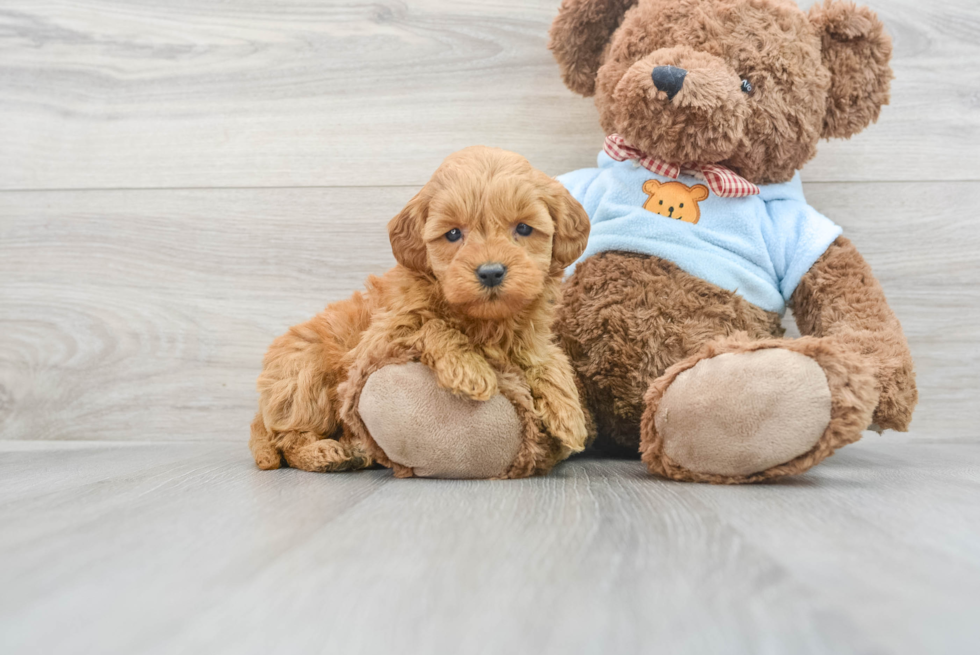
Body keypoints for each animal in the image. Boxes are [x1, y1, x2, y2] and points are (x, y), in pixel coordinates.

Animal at [249, 146, 592, 480]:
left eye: (523, 228)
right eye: (452, 234)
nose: (491, 272)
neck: (484, 320)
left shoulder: (529, 337)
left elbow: (549, 358)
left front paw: (569, 414)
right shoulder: (381, 336)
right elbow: (432, 324)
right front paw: (469, 369)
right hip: (306, 379)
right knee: (289, 437)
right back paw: (326, 453)